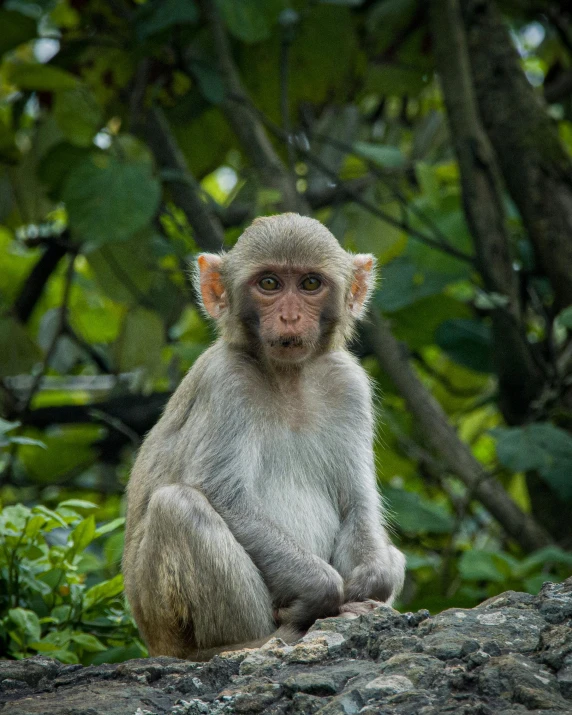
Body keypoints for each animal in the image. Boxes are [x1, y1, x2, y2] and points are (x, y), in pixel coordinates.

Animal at [122, 215, 404, 664]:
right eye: (269, 284)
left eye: (310, 284)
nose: (289, 317)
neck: (287, 378)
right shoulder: (226, 382)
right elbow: (224, 497)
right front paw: (322, 593)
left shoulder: (348, 384)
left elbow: (357, 504)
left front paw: (370, 585)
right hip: (164, 621)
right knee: (179, 508)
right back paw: (253, 641)